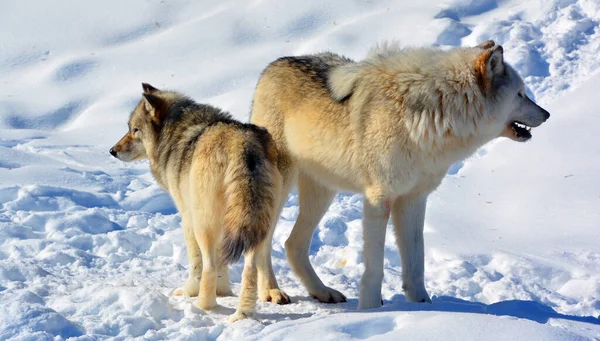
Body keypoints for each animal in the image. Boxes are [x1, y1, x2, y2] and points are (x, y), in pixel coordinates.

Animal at [109, 83, 284, 322]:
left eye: (135, 130)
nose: (112, 151)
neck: (174, 133)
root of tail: (244, 145)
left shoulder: (187, 219)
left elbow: (196, 264)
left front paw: (190, 292)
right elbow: (223, 265)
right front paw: (224, 292)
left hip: (205, 226)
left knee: (209, 265)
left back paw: (203, 306)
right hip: (258, 226)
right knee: (249, 266)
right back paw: (243, 314)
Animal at [251, 40, 552, 308]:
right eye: (520, 94)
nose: (547, 114)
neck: (433, 116)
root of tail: (271, 67)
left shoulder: (413, 199)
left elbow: (416, 262)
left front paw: (422, 305)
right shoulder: (378, 199)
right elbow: (375, 267)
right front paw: (370, 309)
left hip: (323, 192)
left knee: (293, 244)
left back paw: (322, 292)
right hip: (281, 187)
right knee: (262, 244)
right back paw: (272, 292)